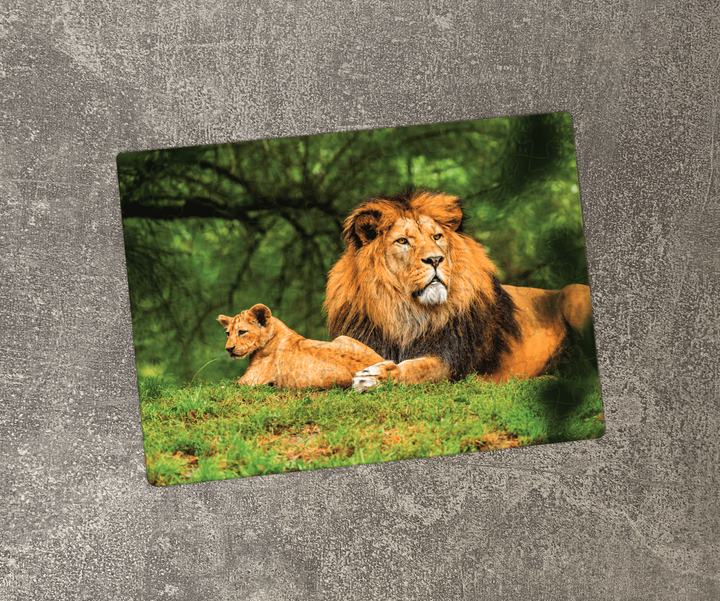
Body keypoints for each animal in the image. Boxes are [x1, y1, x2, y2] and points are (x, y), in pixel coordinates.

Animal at [218, 304, 383, 390]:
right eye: (227, 333)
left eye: (242, 332)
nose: (228, 349)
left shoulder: (250, 381)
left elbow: (226, 386)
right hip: (342, 337)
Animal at [324, 189, 595, 392]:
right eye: (402, 241)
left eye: (437, 237)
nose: (435, 259)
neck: (406, 311)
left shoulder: (454, 359)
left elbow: (418, 369)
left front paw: (377, 376)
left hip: (572, 293)